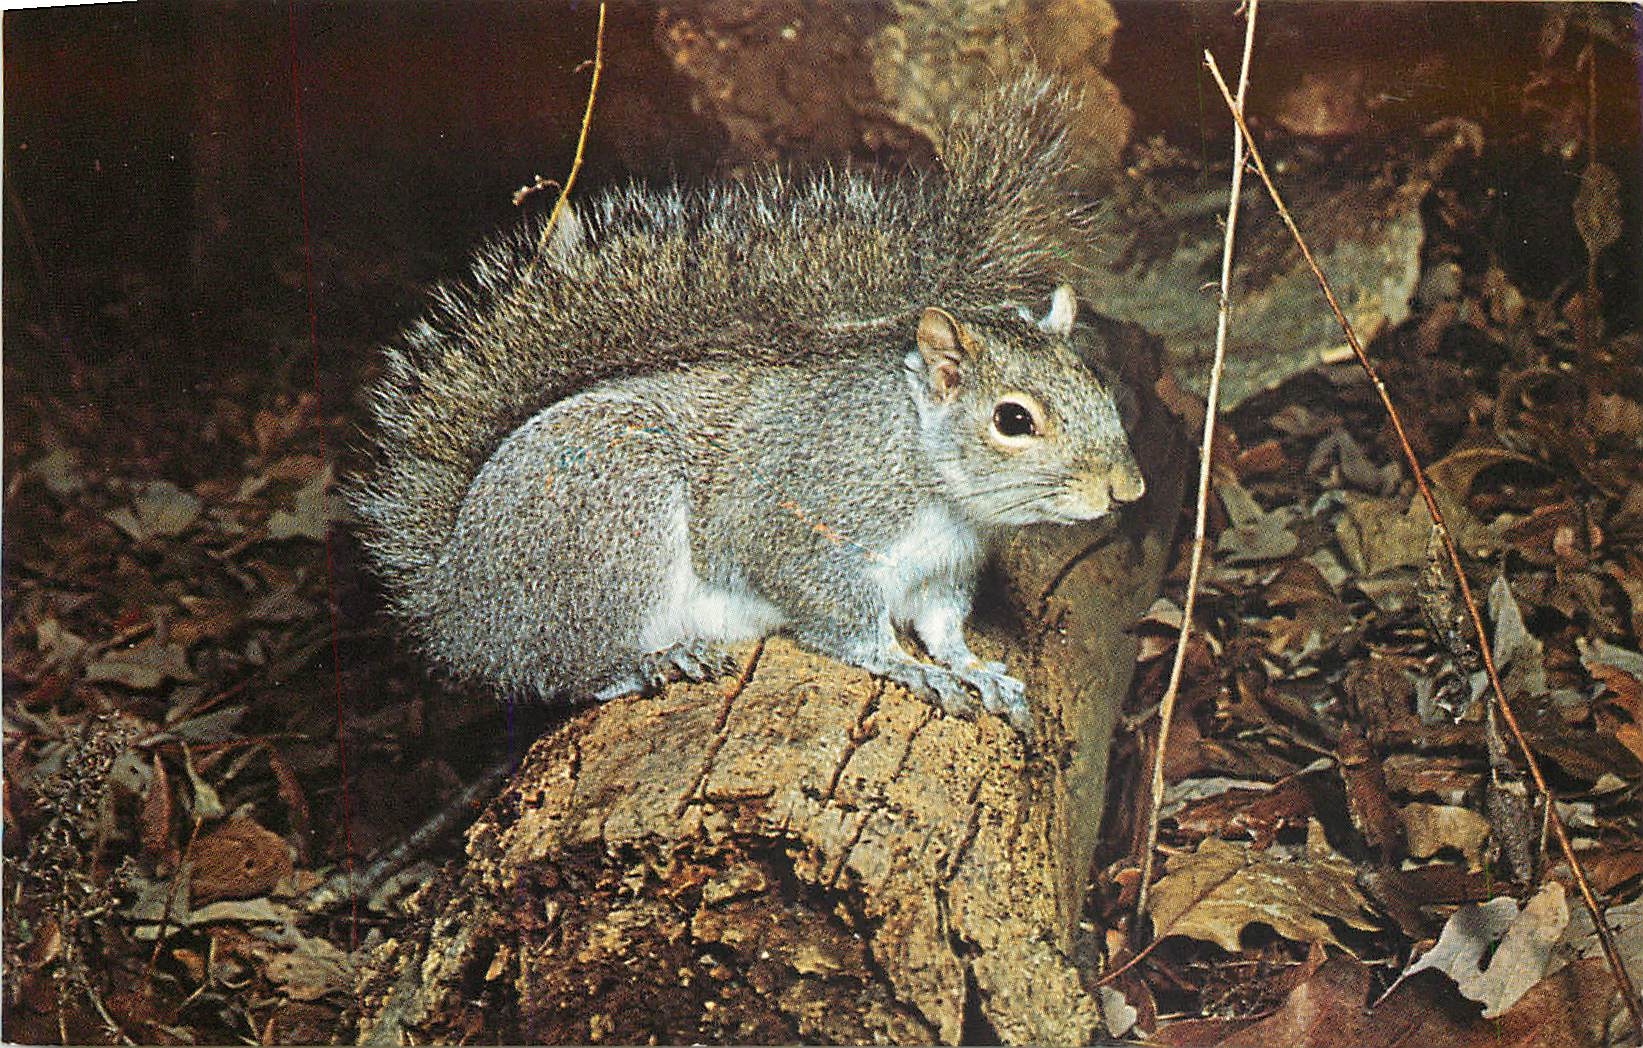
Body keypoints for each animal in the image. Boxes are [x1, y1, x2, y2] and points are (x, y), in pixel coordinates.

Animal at [353, 73, 1146, 734]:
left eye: (1095, 381)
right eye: (1013, 420)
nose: (1128, 489)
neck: (928, 474)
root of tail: (452, 603)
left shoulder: (941, 574)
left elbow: (943, 627)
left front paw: (971, 667)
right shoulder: (808, 529)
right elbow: (845, 620)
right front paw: (905, 666)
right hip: (610, 528)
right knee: (560, 670)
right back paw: (649, 662)